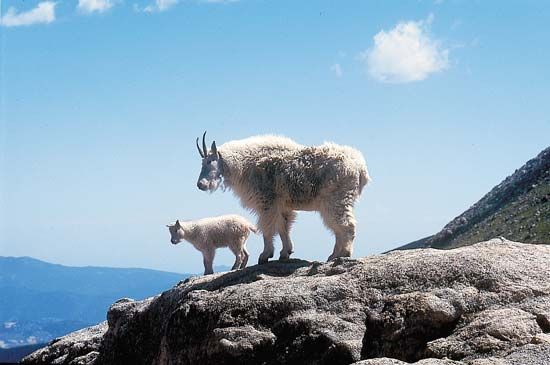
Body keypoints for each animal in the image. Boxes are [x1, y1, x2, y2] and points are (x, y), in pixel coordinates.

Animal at [195, 132, 370, 264]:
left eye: (210, 161)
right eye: (202, 162)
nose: (200, 184)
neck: (244, 164)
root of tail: (361, 168)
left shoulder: (266, 202)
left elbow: (267, 228)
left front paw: (265, 255)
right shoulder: (282, 205)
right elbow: (283, 227)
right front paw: (285, 252)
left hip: (336, 199)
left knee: (346, 225)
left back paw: (343, 254)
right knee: (338, 228)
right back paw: (333, 255)